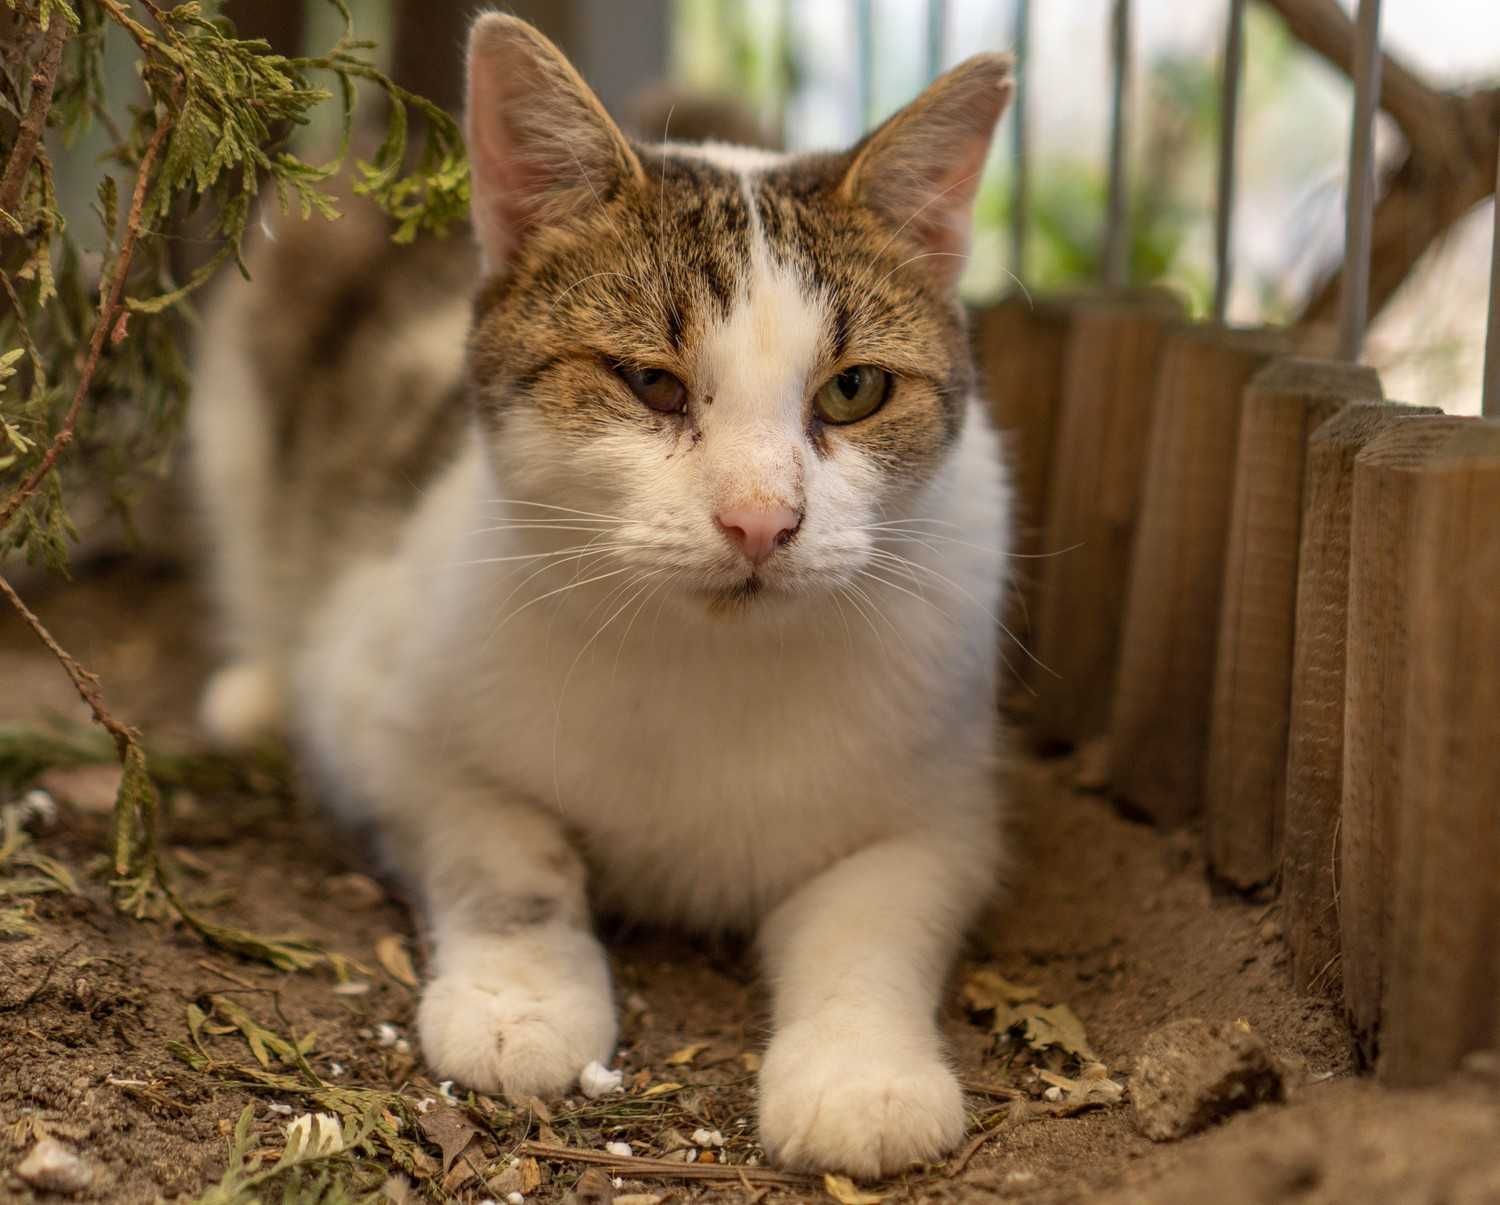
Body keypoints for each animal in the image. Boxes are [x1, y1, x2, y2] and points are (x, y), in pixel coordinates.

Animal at [184, 9, 1008, 1176]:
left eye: (854, 389)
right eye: (650, 382)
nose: (762, 519)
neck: (710, 665)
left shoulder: (948, 803)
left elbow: (872, 915)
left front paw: (863, 1072)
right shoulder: (383, 717)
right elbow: (509, 847)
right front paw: (520, 1001)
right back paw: (254, 684)